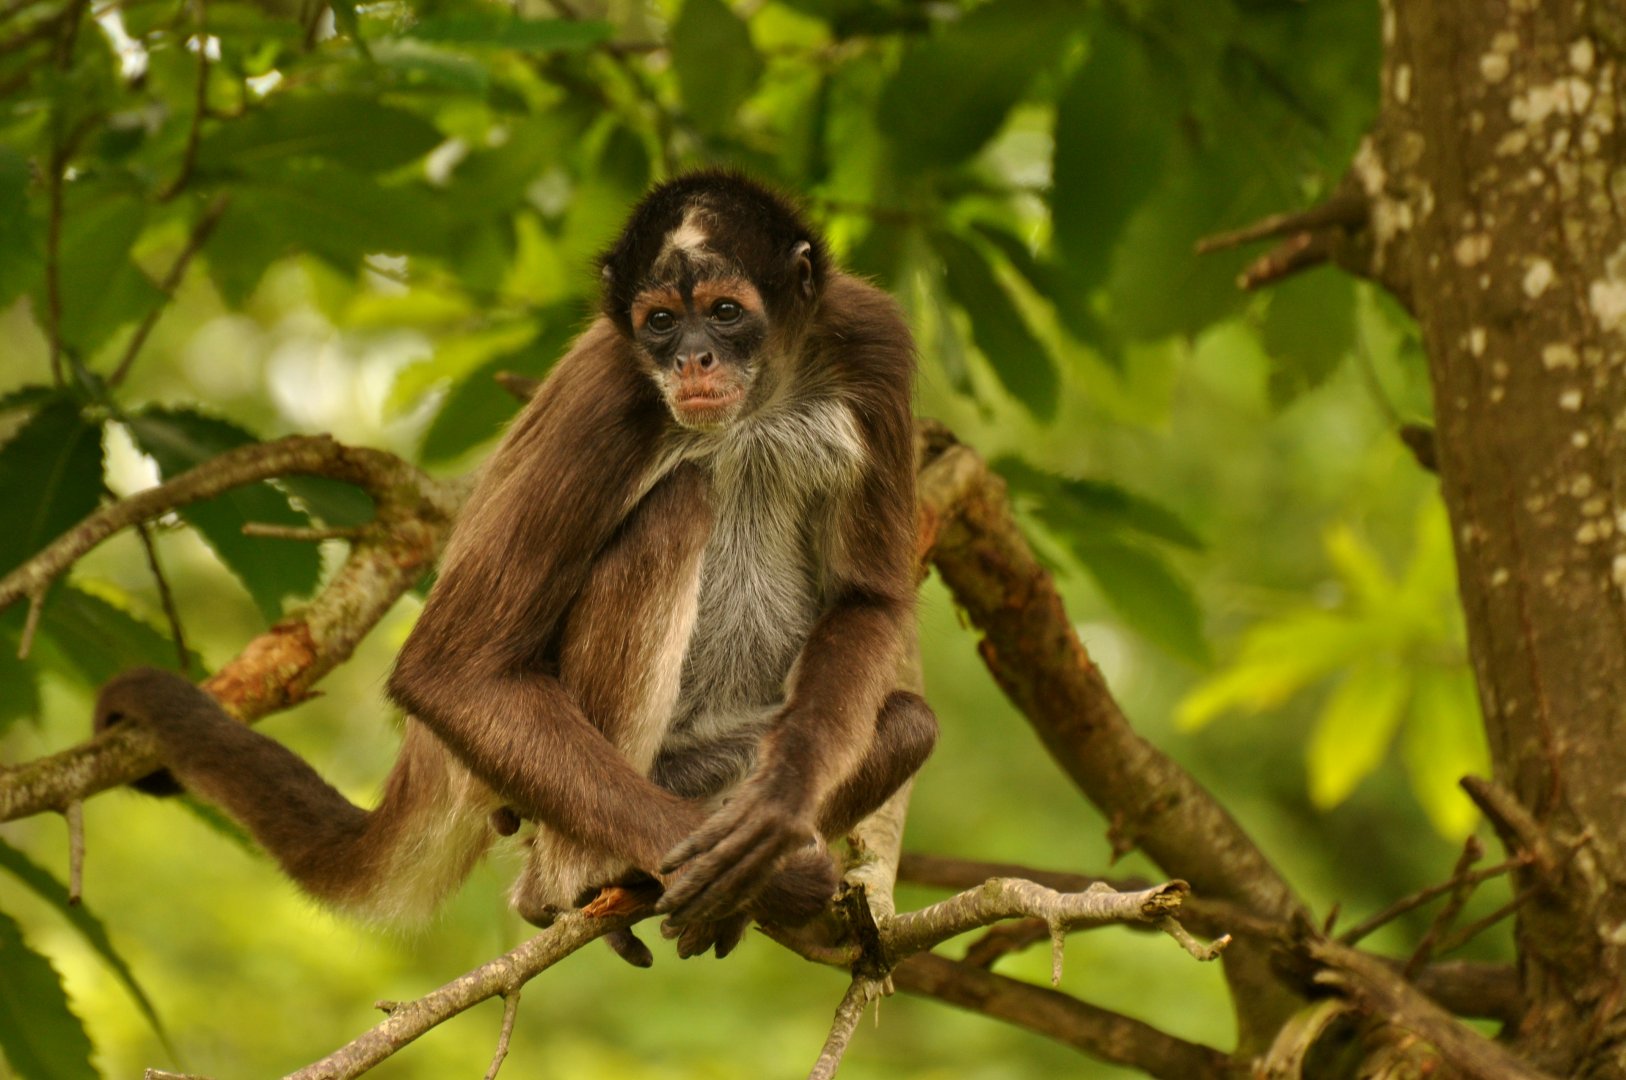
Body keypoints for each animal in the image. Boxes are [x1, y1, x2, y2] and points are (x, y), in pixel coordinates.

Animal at [94, 170, 937, 964]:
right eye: (661, 321)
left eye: (725, 312)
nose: (692, 357)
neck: (759, 403)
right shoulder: (615, 388)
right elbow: (451, 671)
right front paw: (779, 878)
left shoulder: (870, 338)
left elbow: (867, 600)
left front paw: (780, 811)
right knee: (677, 503)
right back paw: (576, 877)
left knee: (907, 723)